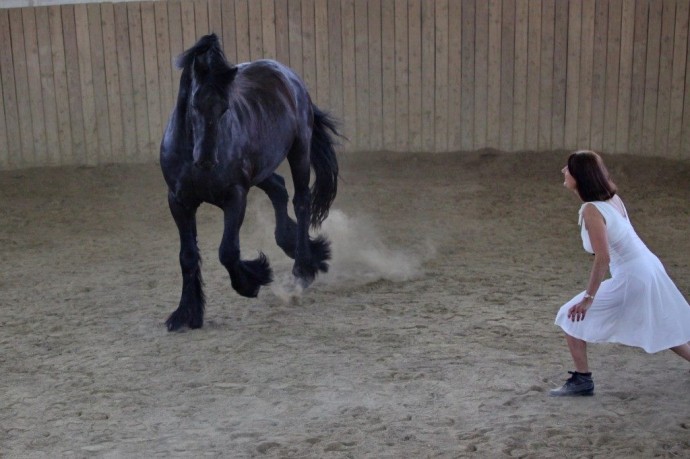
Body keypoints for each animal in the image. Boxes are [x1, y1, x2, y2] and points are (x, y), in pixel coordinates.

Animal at [159, 35, 336, 330]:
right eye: (194, 103)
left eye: (225, 107)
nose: (206, 160)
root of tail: (288, 76)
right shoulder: (178, 201)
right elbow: (187, 256)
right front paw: (187, 313)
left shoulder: (235, 196)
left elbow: (228, 251)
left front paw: (252, 280)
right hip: (262, 170)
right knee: (278, 188)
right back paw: (295, 245)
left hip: (300, 150)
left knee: (301, 201)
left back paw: (302, 267)